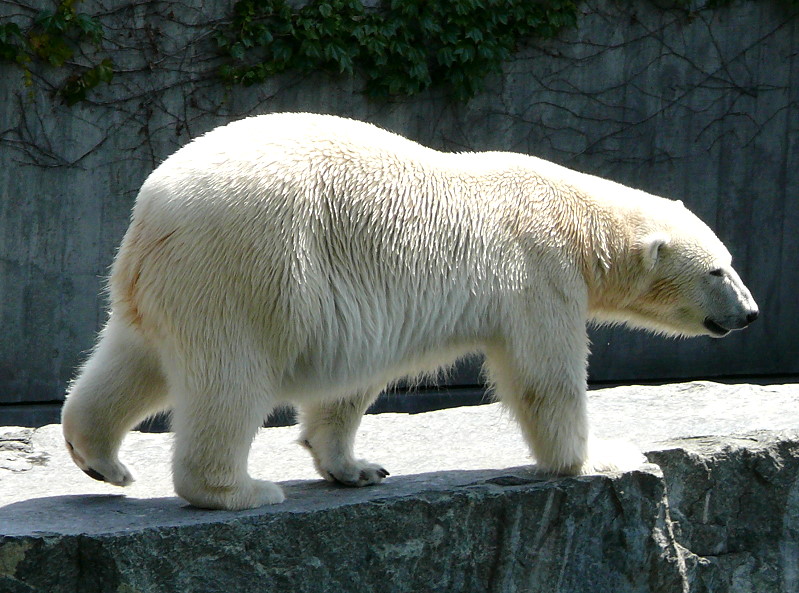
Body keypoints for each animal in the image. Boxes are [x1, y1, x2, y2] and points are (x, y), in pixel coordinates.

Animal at [61, 112, 756, 508]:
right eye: (717, 270)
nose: (749, 312)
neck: (578, 220)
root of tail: (154, 213)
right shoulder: (540, 273)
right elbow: (545, 378)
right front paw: (600, 457)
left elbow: (346, 388)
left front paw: (357, 467)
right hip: (246, 269)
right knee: (230, 381)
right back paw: (240, 490)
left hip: (168, 285)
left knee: (131, 361)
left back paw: (101, 459)